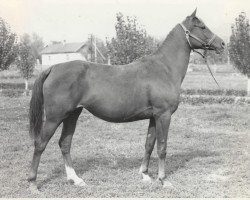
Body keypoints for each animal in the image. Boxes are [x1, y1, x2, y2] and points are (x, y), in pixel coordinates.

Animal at [27, 9, 225, 188]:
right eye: (202, 26)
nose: (222, 43)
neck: (165, 68)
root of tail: (53, 68)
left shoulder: (153, 117)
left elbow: (149, 144)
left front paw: (145, 174)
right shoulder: (164, 115)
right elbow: (162, 147)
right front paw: (163, 179)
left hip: (72, 115)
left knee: (65, 143)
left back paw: (75, 179)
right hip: (54, 117)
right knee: (40, 144)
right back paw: (33, 183)